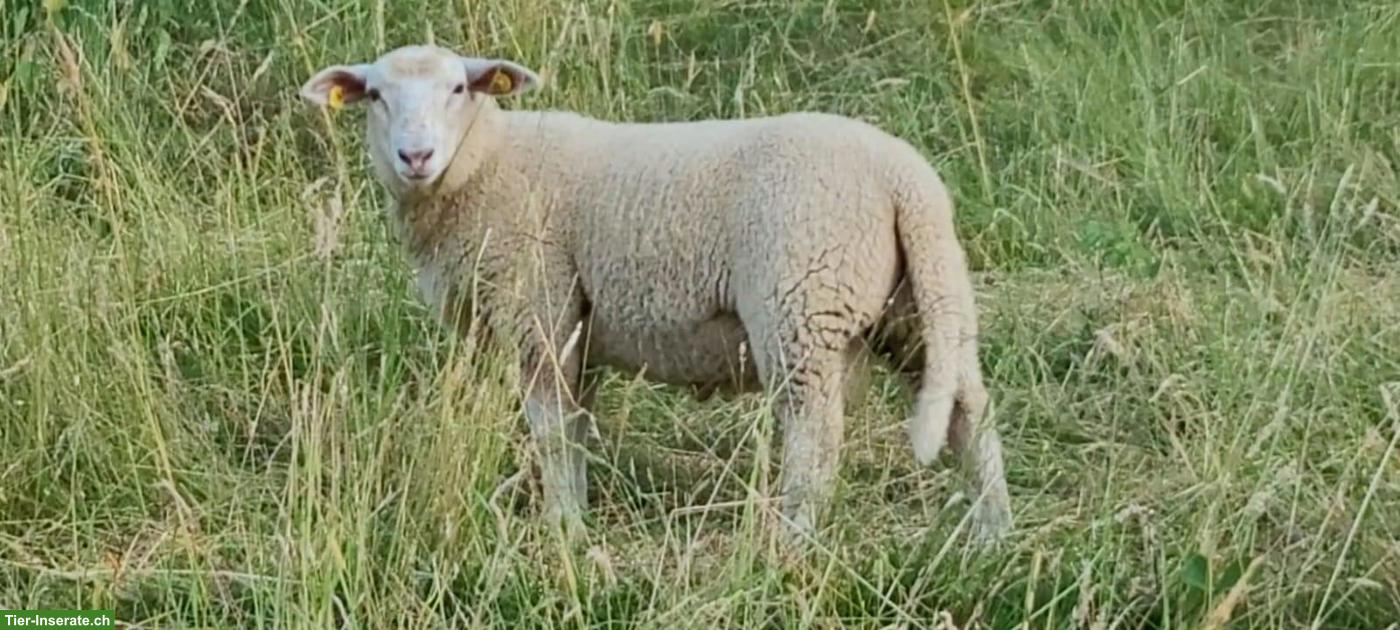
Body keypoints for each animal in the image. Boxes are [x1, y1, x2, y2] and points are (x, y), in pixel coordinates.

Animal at [300, 44, 1012, 547]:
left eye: (456, 89)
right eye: (375, 96)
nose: (415, 156)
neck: (486, 163)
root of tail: (905, 179)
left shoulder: (540, 309)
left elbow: (551, 432)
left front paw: (564, 529)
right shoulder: (577, 327)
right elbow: (576, 428)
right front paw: (576, 516)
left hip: (802, 302)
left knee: (814, 436)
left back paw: (793, 543)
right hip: (918, 302)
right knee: (968, 411)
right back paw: (992, 536)